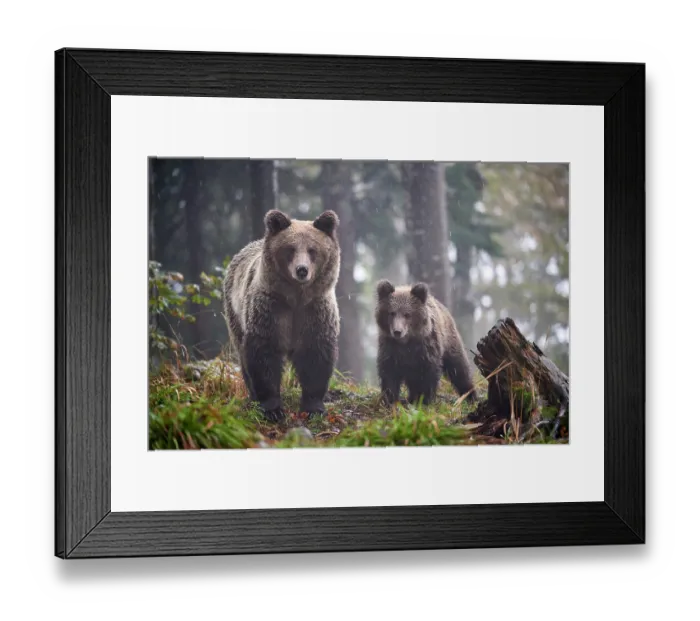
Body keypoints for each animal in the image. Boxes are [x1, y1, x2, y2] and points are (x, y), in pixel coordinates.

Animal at [223, 209, 341, 421]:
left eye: (312, 250)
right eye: (291, 249)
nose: (302, 270)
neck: (296, 298)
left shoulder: (314, 310)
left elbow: (315, 355)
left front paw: (314, 408)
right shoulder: (271, 309)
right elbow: (264, 354)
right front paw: (273, 410)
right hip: (234, 310)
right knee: (242, 352)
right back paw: (252, 395)